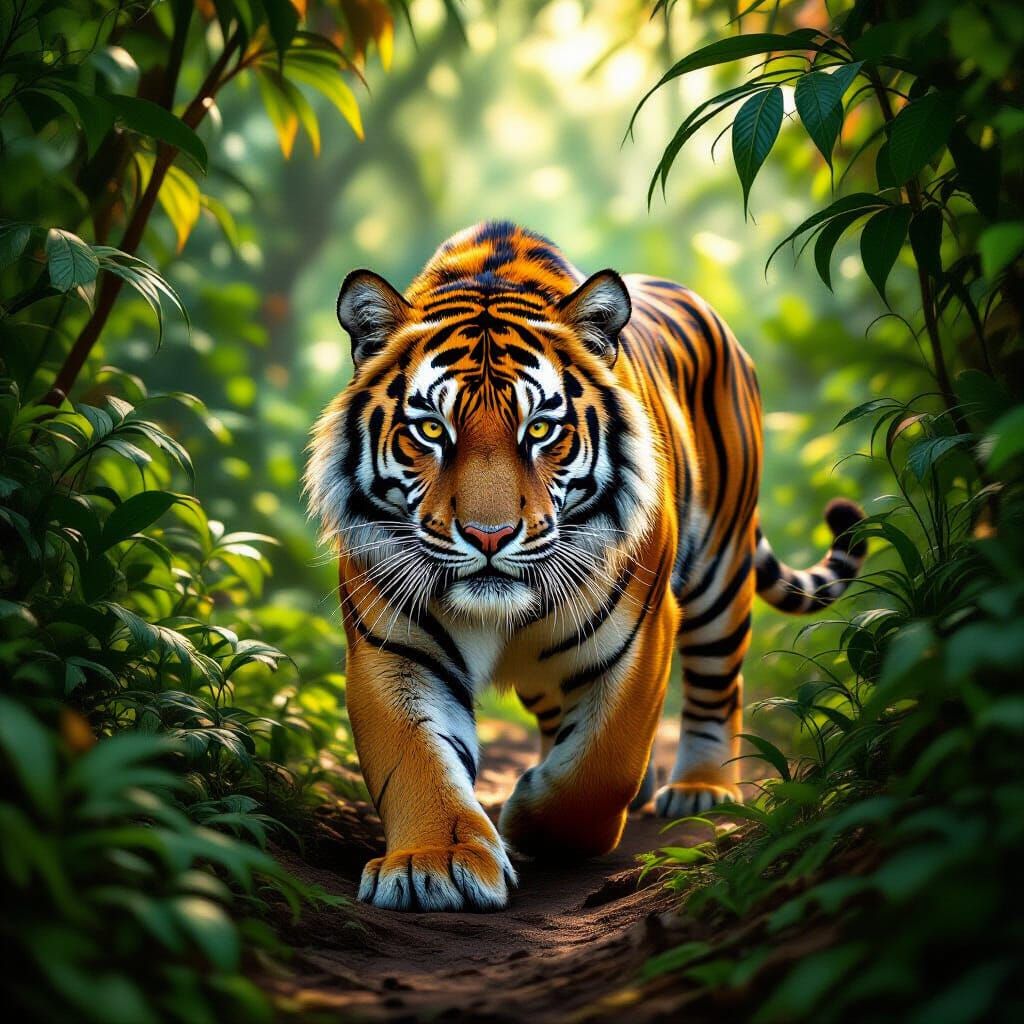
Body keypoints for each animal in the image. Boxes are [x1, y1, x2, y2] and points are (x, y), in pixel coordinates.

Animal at [306, 221, 866, 913]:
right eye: (431, 431)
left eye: (541, 429)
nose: (489, 535)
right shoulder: (395, 643)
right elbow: (417, 759)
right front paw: (433, 863)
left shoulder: (640, 630)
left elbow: (601, 767)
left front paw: (528, 817)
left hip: (720, 572)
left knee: (717, 686)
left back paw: (701, 789)